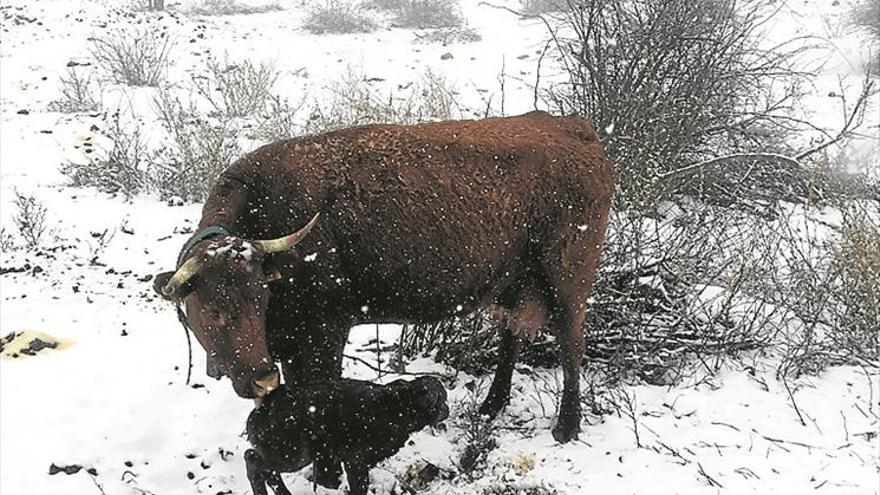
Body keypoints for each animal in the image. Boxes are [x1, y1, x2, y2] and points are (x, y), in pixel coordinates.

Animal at [153, 110, 612, 448]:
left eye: (260, 298)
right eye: (213, 309)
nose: (262, 378)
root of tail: (572, 127)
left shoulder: (325, 331)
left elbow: (318, 393)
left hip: (569, 278)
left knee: (571, 343)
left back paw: (567, 426)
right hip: (512, 284)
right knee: (511, 338)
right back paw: (491, 405)